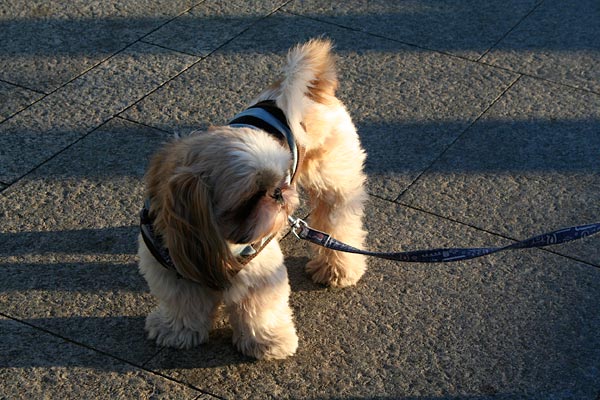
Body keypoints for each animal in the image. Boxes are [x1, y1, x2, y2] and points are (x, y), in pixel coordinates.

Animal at [138, 39, 367, 360]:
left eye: (278, 180)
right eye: (250, 197)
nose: (279, 192)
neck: (218, 241)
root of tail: (310, 88)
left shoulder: (260, 270)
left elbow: (260, 310)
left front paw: (268, 342)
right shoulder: (169, 269)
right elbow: (182, 304)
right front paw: (177, 331)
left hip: (334, 178)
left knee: (338, 221)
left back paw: (337, 268)